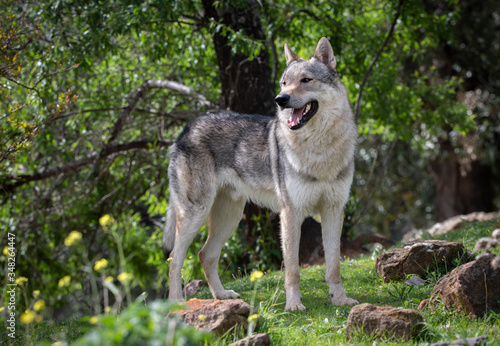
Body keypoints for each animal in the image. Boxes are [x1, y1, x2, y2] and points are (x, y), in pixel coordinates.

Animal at [165, 37, 360, 310]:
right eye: (284, 83)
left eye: (306, 80)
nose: (280, 99)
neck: (319, 149)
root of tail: (186, 129)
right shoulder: (290, 214)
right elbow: (293, 269)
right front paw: (293, 305)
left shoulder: (333, 210)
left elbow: (334, 266)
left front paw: (340, 299)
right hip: (196, 214)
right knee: (174, 257)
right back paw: (176, 302)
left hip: (230, 218)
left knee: (205, 255)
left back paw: (222, 295)